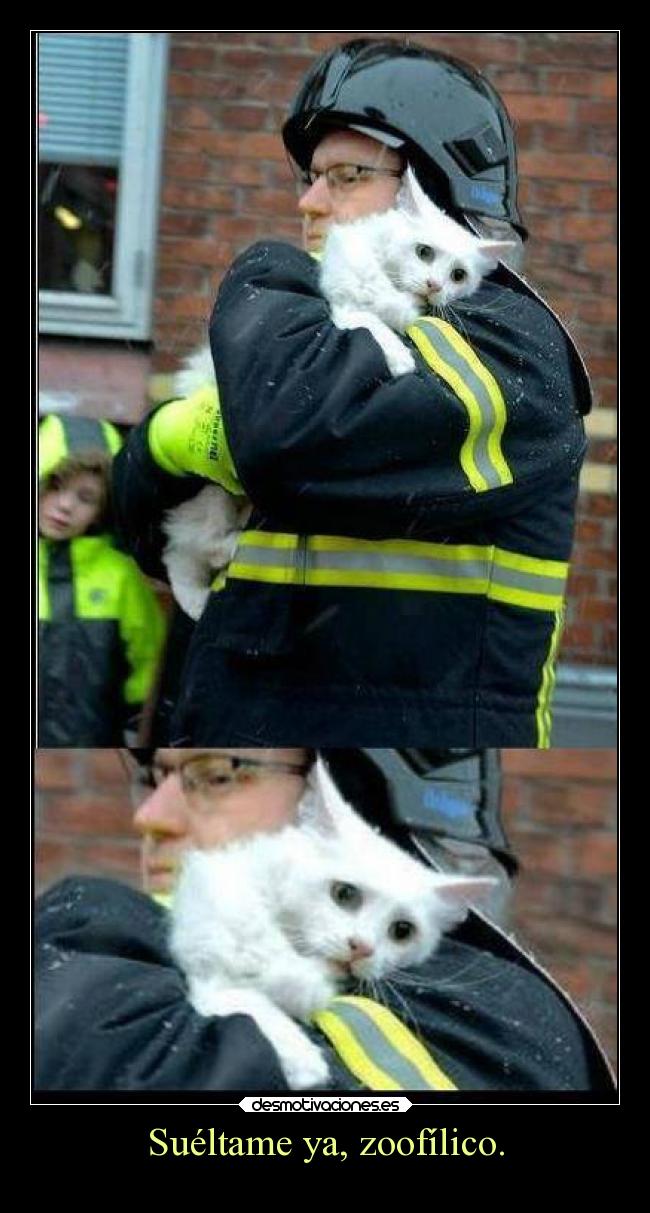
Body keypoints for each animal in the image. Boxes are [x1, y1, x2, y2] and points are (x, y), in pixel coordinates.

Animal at [169, 756, 494, 1091]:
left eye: (402, 931)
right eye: (344, 894)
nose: (362, 948)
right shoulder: (210, 968)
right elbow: (252, 1002)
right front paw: (303, 1061)